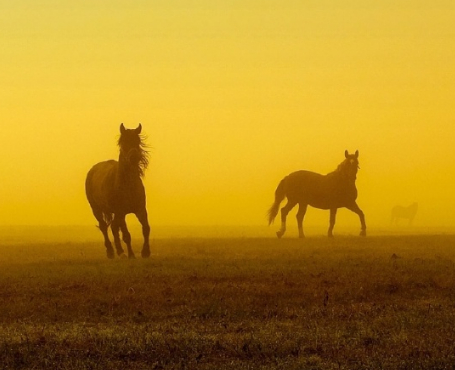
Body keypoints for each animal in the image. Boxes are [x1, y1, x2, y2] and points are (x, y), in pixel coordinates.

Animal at [84, 123, 151, 258]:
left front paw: (146, 252)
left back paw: (120, 251)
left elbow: (146, 228)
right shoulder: (121, 212)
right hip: (96, 209)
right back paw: (110, 251)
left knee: (114, 227)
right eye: (123, 142)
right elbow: (126, 235)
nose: (134, 158)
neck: (128, 186)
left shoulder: (140, 209)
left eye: (138, 141)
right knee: (104, 227)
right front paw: (131, 254)